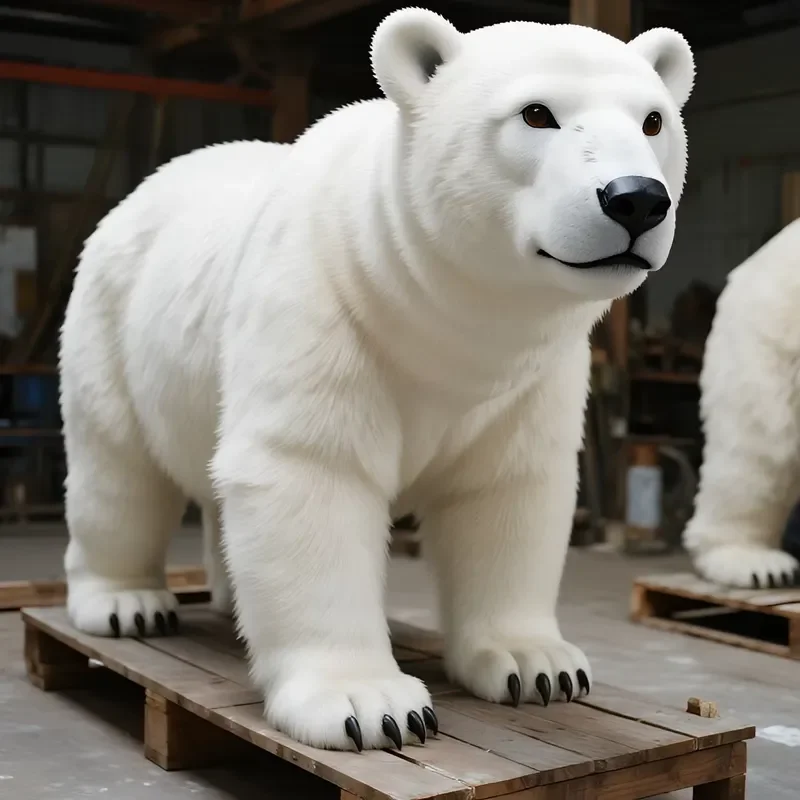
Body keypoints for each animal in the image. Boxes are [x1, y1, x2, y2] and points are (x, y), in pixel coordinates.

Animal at [59, 8, 694, 751]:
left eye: (653, 120)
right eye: (537, 113)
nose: (637, 200)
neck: (433, 315)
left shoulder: (528, 373)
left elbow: (507, 488)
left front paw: (537, 665)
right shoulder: (327, 301)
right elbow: (311, 468)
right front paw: (372, 704)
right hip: (112, 321)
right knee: (118, 471)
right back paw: (126, 604)